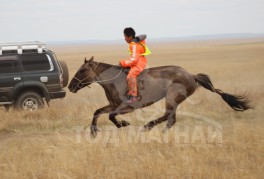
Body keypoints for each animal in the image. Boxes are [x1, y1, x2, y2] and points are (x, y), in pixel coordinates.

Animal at [67, 56, 250, 137]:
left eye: (83, 70)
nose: (70, 86)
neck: (115, 81)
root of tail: (191, 75)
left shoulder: (127, 107)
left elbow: (111, 116)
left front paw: (123, 124)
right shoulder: (113, 105)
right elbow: (98, 112)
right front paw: (93, 131)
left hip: (171, 97)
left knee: (168, 117)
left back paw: (148, 127)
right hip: (173, 101)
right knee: (171, 119)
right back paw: (160, 132)